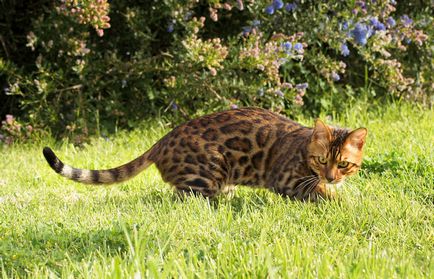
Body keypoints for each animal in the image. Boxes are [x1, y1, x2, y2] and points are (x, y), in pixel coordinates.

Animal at [44, 107, 368, 201]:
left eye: (343, 164)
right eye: (322, 160)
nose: (332, 177)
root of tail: (163, 139)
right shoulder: (288, 180)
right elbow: (322, 193)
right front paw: (341, 201)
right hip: (208, 171)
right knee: (182, 197)